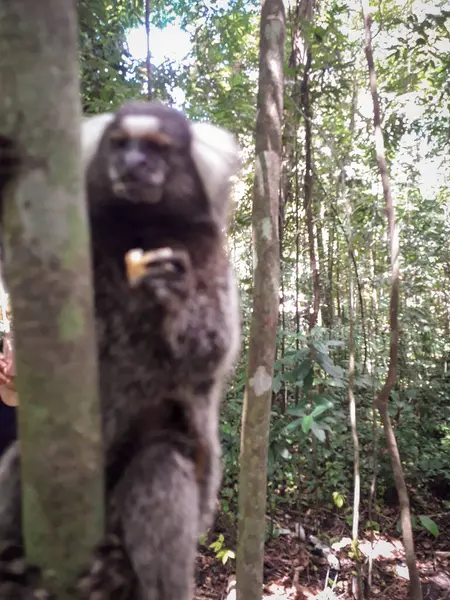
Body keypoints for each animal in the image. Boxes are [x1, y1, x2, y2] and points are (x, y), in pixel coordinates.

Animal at [0, 103, 241, 600]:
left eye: (156, 149)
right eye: (121, 144)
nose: (131, 165)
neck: (142, 230)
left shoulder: (210, 257)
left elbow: (211, 352)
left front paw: (173, 295)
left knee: (161, 466)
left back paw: (125, 573)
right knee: (20, 464)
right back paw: (12, 571)